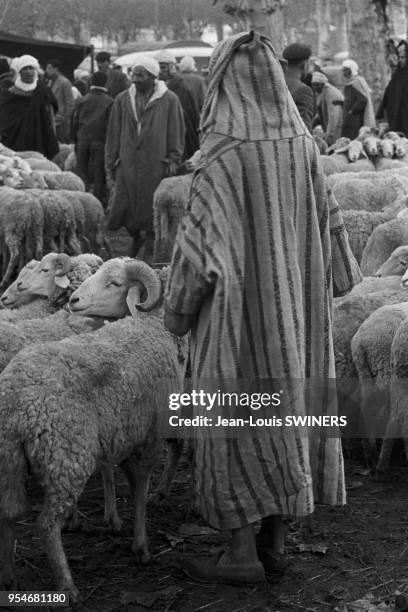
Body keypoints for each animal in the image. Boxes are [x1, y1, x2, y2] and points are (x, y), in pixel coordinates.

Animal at [0, 260, 186, 604]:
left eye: (113, 283)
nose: (74, 301)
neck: (151, 326)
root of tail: (18, 397)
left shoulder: (124, 433)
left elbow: (126, 479)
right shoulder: (149, 435)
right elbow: (140, 487)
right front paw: (141, 545)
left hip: (9, 459)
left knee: (8, 512)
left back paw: (8, 579)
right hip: (67, 457)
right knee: (46, 524)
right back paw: (67, 586)